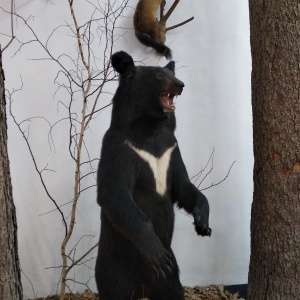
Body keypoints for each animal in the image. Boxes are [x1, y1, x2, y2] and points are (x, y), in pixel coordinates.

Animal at [95, 51, 211, 300]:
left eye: (171, 73)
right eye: (159, 76)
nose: (181, 84)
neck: (150, 127)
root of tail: (142, 288)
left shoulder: (172, 147)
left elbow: (183, 185)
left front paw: (203, 223)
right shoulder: (119, 148)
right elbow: (113, 193)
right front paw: (154, 250)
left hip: (171, 273)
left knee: (172, 288)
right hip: (113, 266)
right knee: (114, 288)